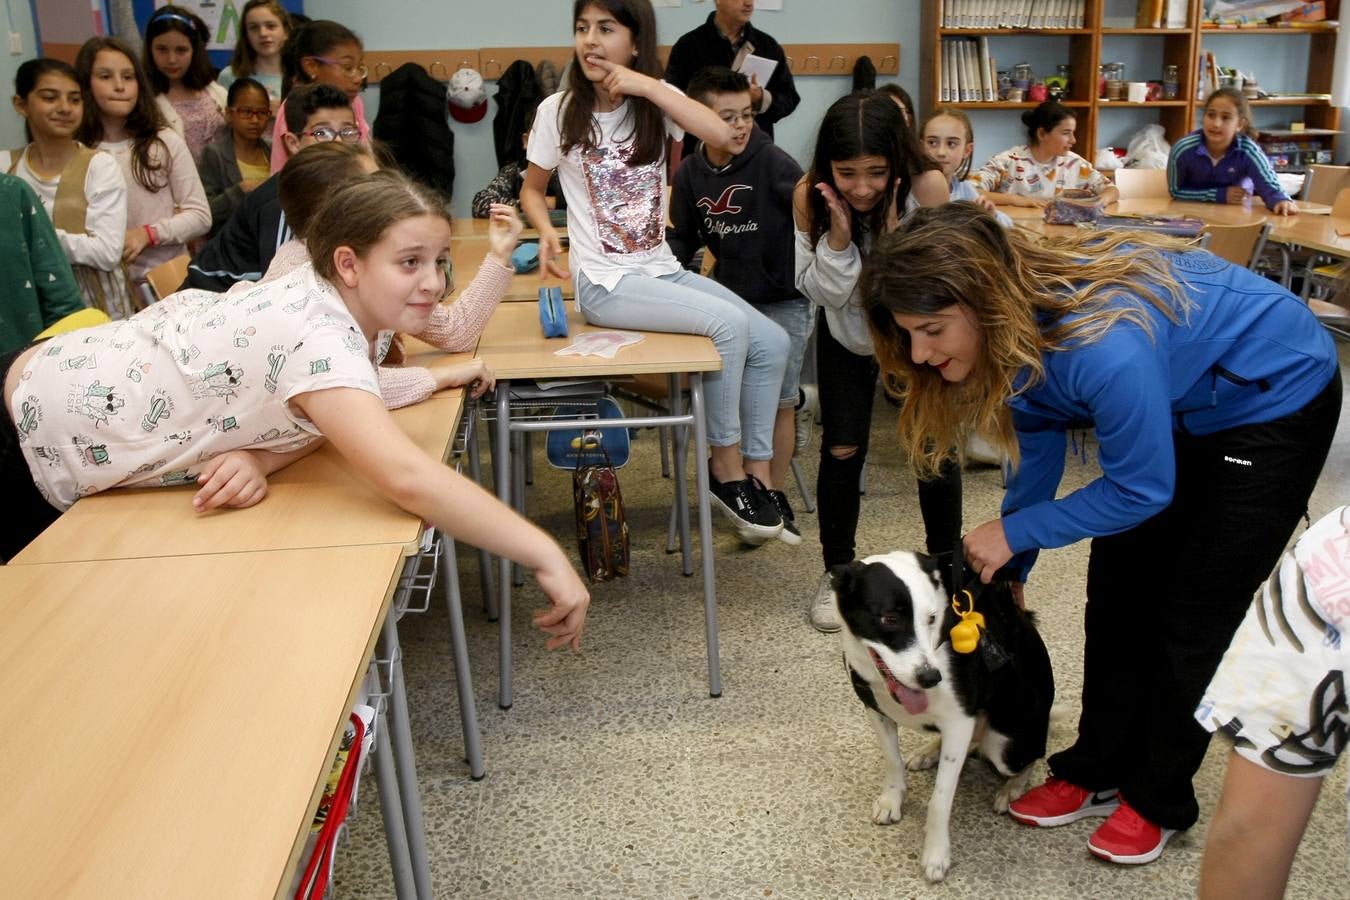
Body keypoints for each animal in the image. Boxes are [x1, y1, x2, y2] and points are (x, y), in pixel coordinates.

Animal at [831, 550, 1053, 879]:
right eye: (890, 619)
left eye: (932, 618)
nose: (930, 677)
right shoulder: (875, 709)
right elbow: (892, 760)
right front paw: (892, 799)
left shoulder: (960, 721)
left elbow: (940, 799)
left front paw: (936, 853)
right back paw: (929, 752)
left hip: (1005, 745)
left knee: (1033, 755)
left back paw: (1012, 788)